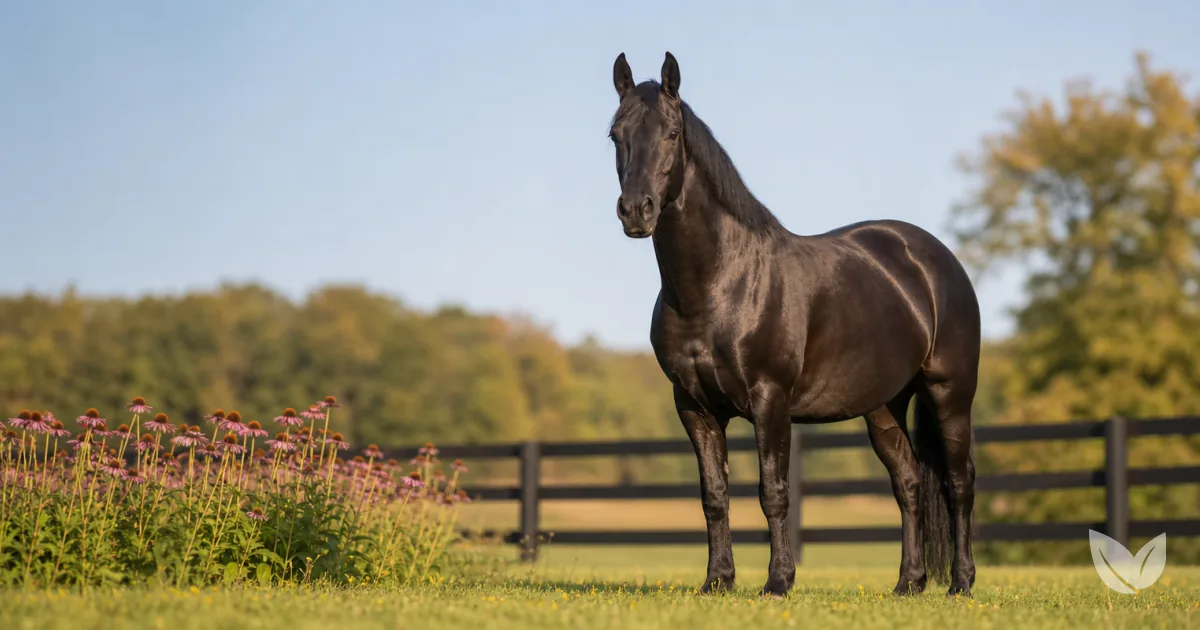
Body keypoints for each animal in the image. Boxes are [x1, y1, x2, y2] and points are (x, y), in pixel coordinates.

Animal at [607, 51, 980, 598]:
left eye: (673, 133)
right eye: (615, 134)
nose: (636, 211)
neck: (719, 283)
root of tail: (936, 259)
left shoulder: (771, 400)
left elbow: (774, 492)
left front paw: (778, 581)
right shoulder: (693, 406)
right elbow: (714, 494)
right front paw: (717, 581)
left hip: (949, 393)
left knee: (958, 482)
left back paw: (960, 583)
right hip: (884, 407)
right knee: (909, 482)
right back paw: (908, 584)